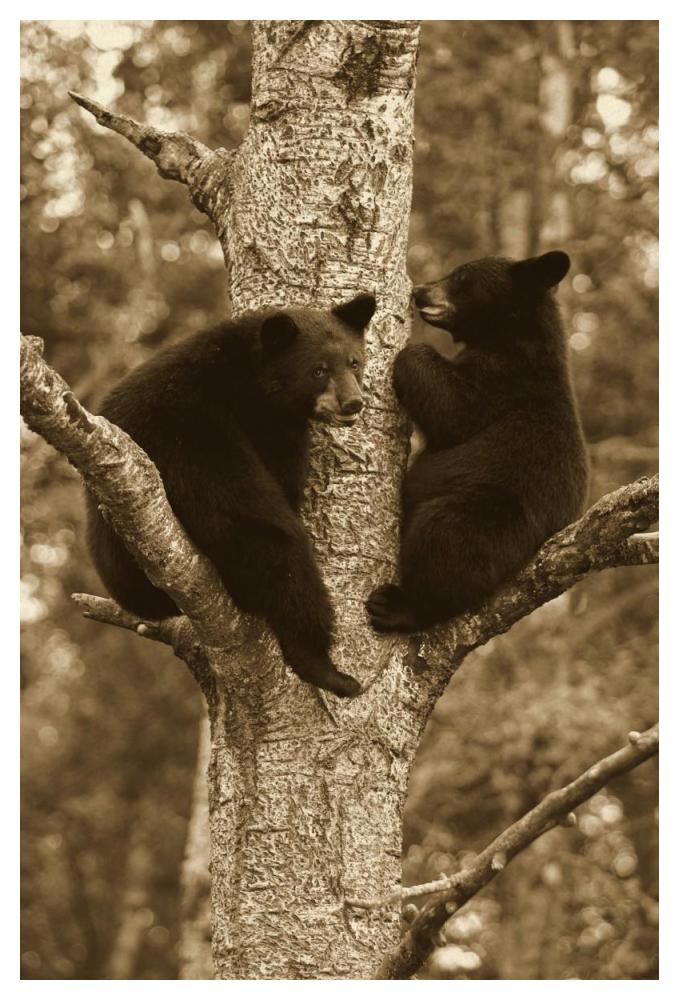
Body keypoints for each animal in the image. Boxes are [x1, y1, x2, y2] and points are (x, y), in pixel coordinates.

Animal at [87, 294, 376, 697]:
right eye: (318, 370)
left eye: (354, 362)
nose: (353, 403)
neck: (251, 383)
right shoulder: (210, 428)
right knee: (279, 549)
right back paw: (326, 669)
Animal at [366, 250, 589, 633]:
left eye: (462, 278)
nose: (420, 291)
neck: (511, 336)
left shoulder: (503, 380)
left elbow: (452, 408)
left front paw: (408, 349)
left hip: (496, 516)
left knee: (446, 540)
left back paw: (399, 607)